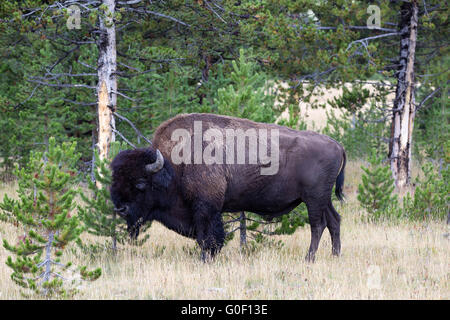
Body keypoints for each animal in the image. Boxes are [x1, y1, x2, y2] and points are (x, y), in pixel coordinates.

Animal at [110, 114, 346, 262]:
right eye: (114, 180)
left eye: (140, 184)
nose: (120, 209)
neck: (175, 164)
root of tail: (336, 144)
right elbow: (208, 237)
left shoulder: (205, 208)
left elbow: (207, 237)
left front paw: (205, 259)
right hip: (323, 199)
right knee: (334, 221)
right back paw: (335, 256)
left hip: (313, 199)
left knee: (318, 225)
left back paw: (309, 258)